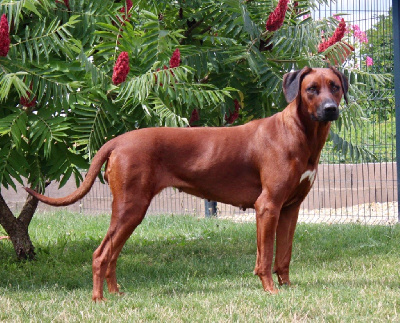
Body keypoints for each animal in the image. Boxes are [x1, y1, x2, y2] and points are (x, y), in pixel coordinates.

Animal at [27, 66, 346, 302]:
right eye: (311, 89)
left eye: (335, 86)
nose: (331, 109)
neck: (300, 133)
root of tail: (117, 140)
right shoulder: (267, 206)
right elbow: (265, 256)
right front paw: (269, 290)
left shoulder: (290, 208)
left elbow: (284, 255)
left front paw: (287, 286)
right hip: (131, 207)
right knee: (100, 254)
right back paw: (98, 299)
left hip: (131, 212)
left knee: (112, 255)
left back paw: (116, 293)